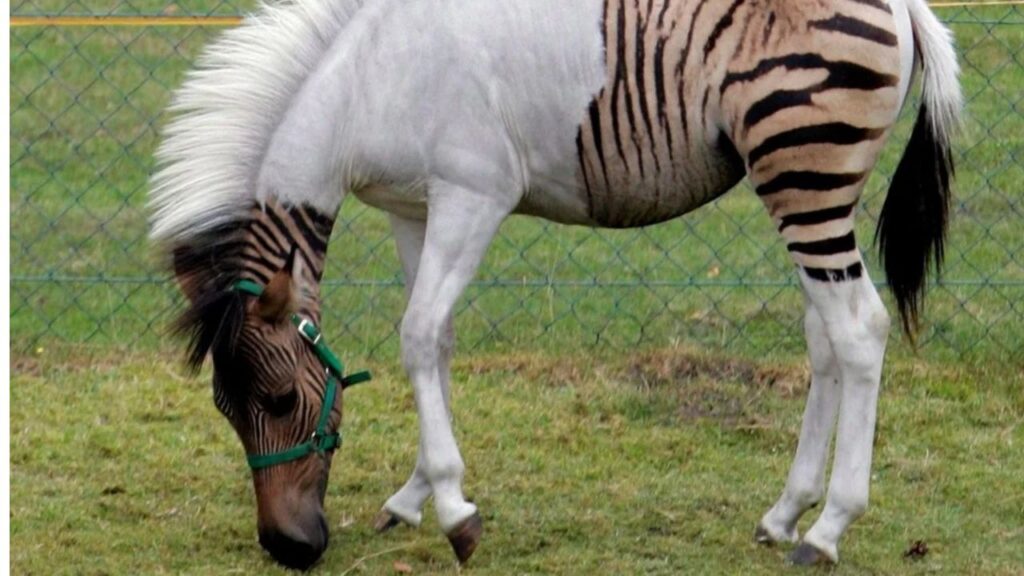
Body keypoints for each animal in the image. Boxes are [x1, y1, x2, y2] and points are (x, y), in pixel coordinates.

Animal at [150, 0, 960, 569]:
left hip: (803, 175)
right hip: (813, 189)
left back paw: (826, 531)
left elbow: (418, 335)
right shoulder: (415, 208)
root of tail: (900, 7)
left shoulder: (473, 195)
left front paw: (455, 513)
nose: (288, 550)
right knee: (825, 337)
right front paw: (415, 496)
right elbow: (435, 342)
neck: (366, 81)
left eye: (281, 400)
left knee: (858, 330)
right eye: (225, 409)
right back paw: (785, 514)